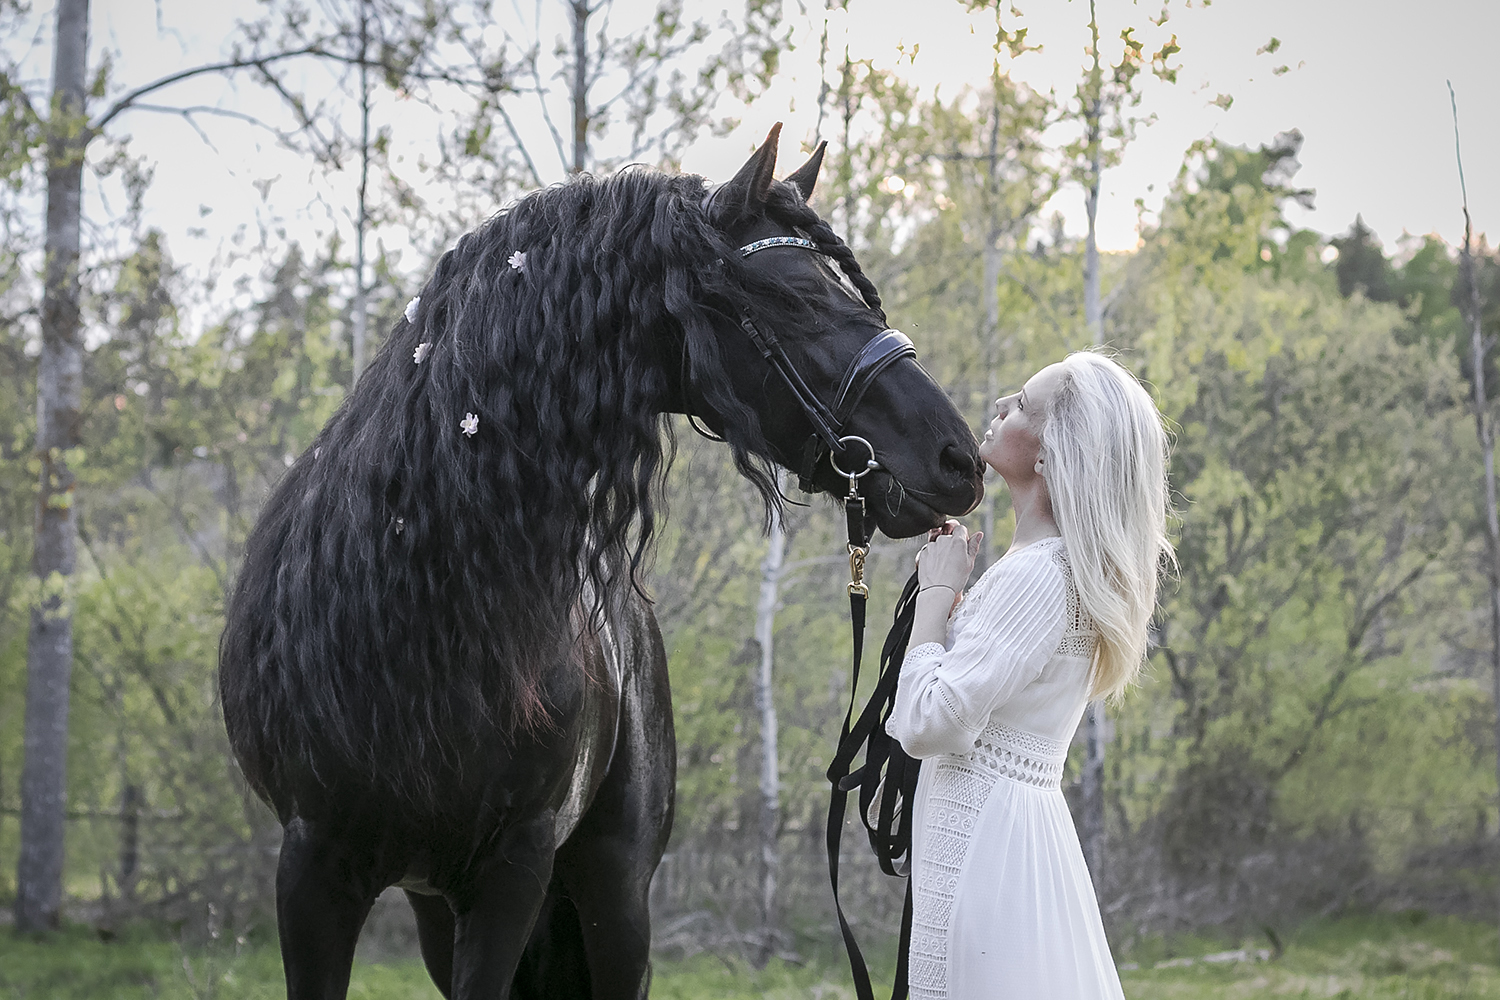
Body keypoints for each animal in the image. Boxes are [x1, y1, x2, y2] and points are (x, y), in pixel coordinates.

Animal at [214, 127, 984, 1000]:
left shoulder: (510, 869)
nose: (959, 458)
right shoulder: (313, 870)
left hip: (611, 896)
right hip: (437, 908)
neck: (415, 604)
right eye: (797, 296)